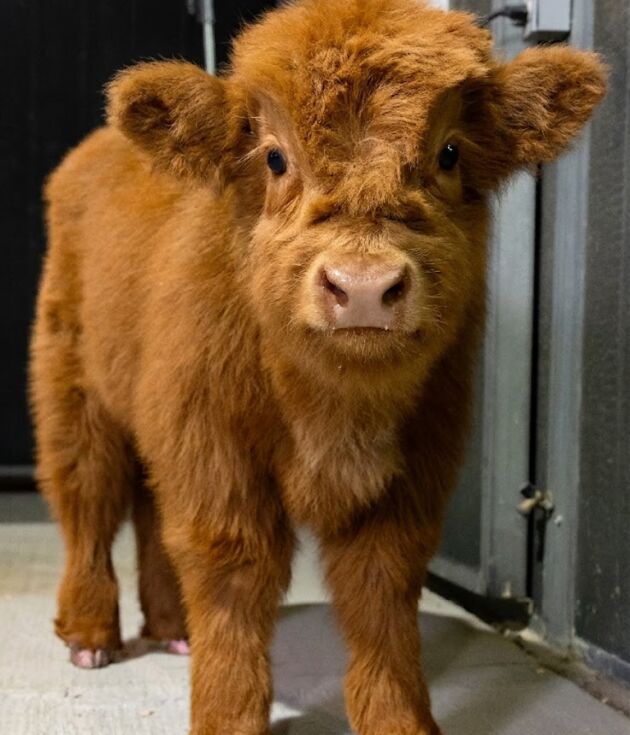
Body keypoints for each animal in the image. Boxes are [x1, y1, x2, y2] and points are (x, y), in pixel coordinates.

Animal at [29, 0, 606, 732]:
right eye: (274, 157)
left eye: (449, 152)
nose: (362, 286)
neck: (332, 407)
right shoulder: (216, 455)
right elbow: (233, 576)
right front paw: (228, 714)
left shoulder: (415, 465)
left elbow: (382, 591)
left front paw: (399, 717)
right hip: (74, 391)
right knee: (87, 502)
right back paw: (89, 635)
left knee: (149, 514)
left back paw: (171, 627)